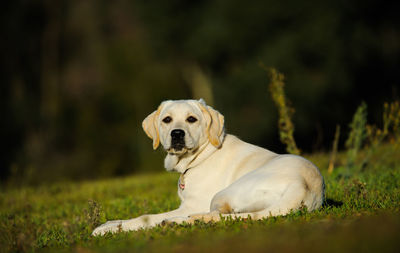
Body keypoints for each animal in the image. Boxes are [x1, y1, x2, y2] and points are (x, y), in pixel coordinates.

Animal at [92, 98, 324, 235]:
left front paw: (109, 230)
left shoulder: (191, 205)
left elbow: (146, 217)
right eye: (167, 120)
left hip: (224, 194)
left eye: (191, 119)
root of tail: (304, 186)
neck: (200, 157)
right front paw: (108, 224)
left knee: (216, 216)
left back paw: (176, 221)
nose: (177, 134)